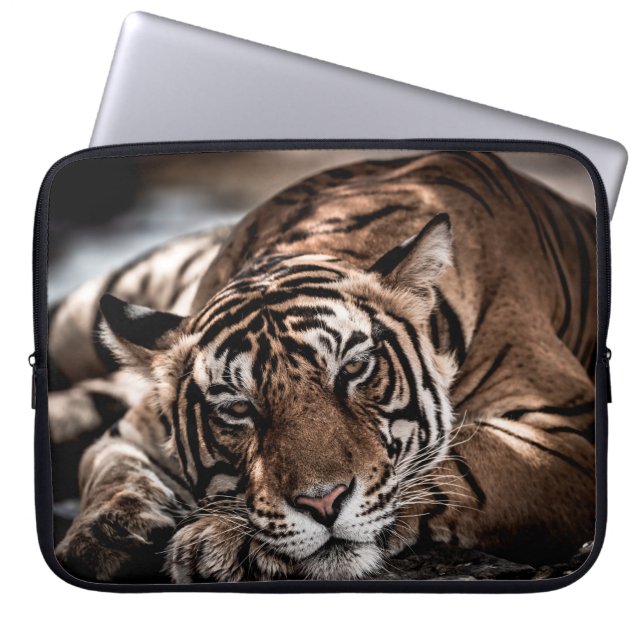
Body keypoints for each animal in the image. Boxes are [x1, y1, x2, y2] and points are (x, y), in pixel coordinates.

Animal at [50, 151, 597, 582]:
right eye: (237, 409)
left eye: (353, 370)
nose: (323, 503)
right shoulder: (133, 431)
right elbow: (109, 469)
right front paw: (105, 535)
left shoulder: (566, 430)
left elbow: (457, 463)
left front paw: (219, 541)